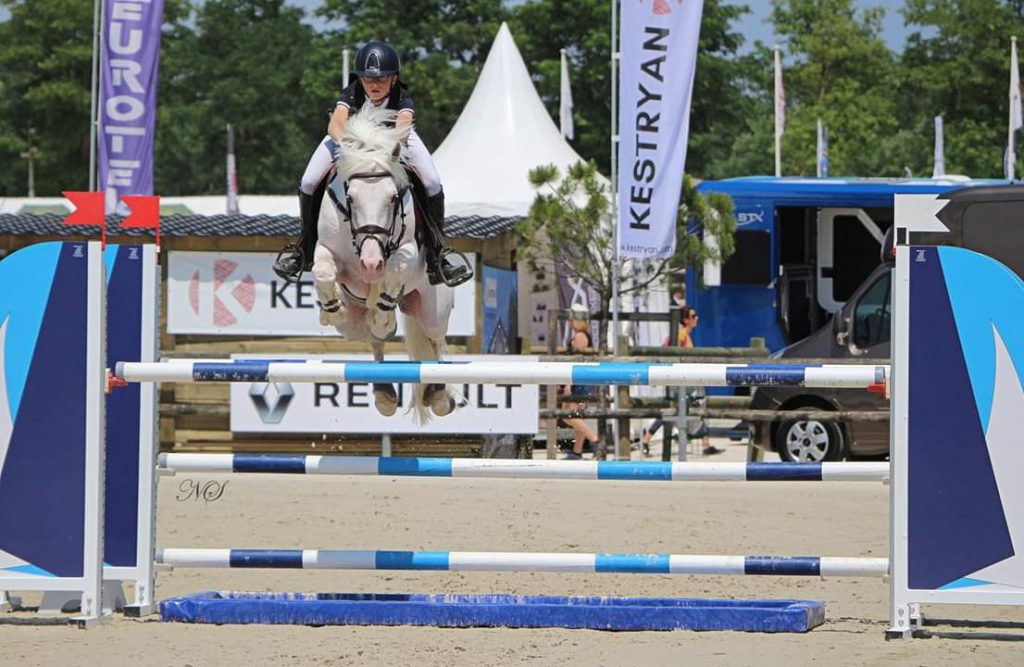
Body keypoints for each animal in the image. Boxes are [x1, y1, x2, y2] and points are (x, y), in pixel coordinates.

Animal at [310, 106, 458, 420]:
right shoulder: (326, 248)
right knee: (374, 341)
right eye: (350, 198)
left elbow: (395, 270)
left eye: (393, 198)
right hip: (352, 329)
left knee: (437, 342)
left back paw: (439, 394)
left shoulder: (408, 252)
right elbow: (324, 271)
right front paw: (332, 308)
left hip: (434, 311)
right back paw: (384, 393)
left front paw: (382, 316)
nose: (370, 264)